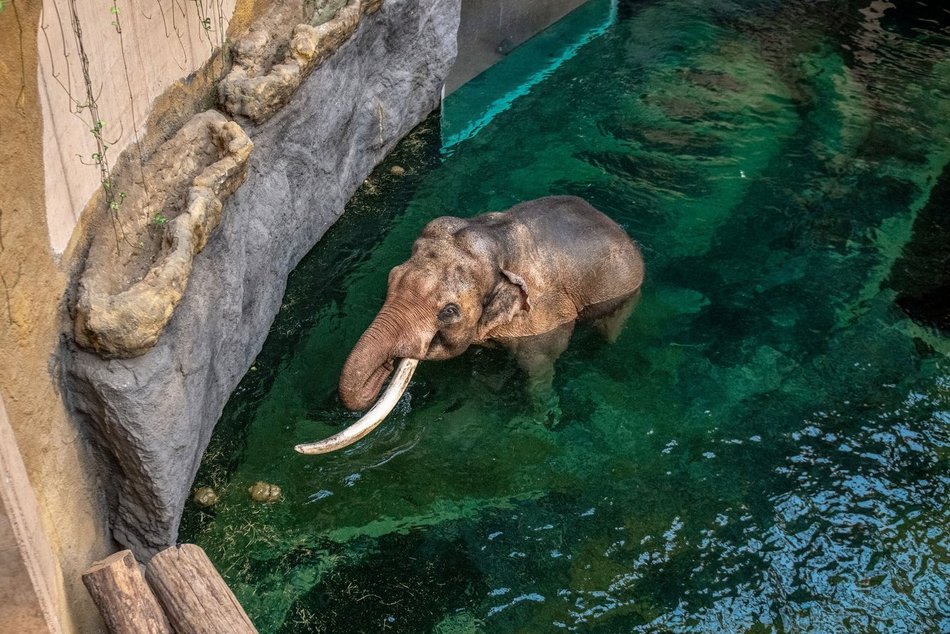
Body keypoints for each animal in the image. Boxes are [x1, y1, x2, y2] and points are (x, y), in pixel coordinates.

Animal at [294, 195, 644, 452]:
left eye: (448, 311)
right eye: (391, 278)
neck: (499, 242)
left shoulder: (543, 320)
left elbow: (539, 370)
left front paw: (537, 423)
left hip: (626, 293)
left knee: (608, 333)